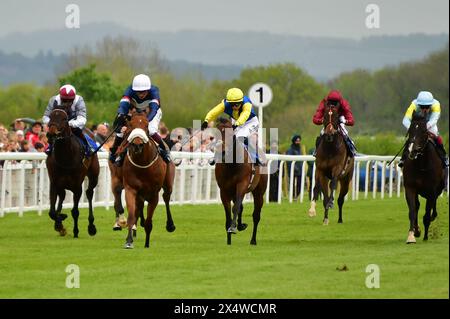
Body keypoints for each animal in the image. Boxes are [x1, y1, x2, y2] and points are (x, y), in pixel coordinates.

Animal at [45, 107, 99, 238]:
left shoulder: (77, 186)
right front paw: (60, 221)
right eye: (51, 116)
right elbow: (52, 212)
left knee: (89, 193)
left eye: (64, 119)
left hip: (94, 176)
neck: (65, 158)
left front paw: (75, 231)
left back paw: (91, 226)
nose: (51, 134)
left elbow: (75, 211)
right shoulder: (54, 183)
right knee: (62, 196)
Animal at [119, 112, 176, 250]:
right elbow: (131, 215)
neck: (142, 163)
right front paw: (129, 241)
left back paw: (170, 225)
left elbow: (150, 220)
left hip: (168, 184)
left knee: (166, 198)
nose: (137, 145)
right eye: (130, 125)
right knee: (139, 206)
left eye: (146, 126)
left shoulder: (154, 194)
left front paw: (147, 243)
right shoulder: (130, 189)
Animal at [214, 117, 268, 245]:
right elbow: (229, 211)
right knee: (241, 207)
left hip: (259, 192)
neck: (231, 165)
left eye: (231, 134)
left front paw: (232, 228)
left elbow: (236, 208)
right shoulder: (224, 190)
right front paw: (229, 239)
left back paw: (253, 240)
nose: (222, 152)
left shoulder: (242, 184)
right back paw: (240, 226)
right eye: (215, 134)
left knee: (256, 215)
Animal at [402, 111, 444, 244]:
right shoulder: (410, 187)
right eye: (410, 130)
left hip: (437, 189)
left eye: (424, 131)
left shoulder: (431, 191)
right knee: (417, 206)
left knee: (432, 207)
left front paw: (425, 236)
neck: (421, 164)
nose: (413, 150)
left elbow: (426, 214)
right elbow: (412, 211)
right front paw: (412, 234)